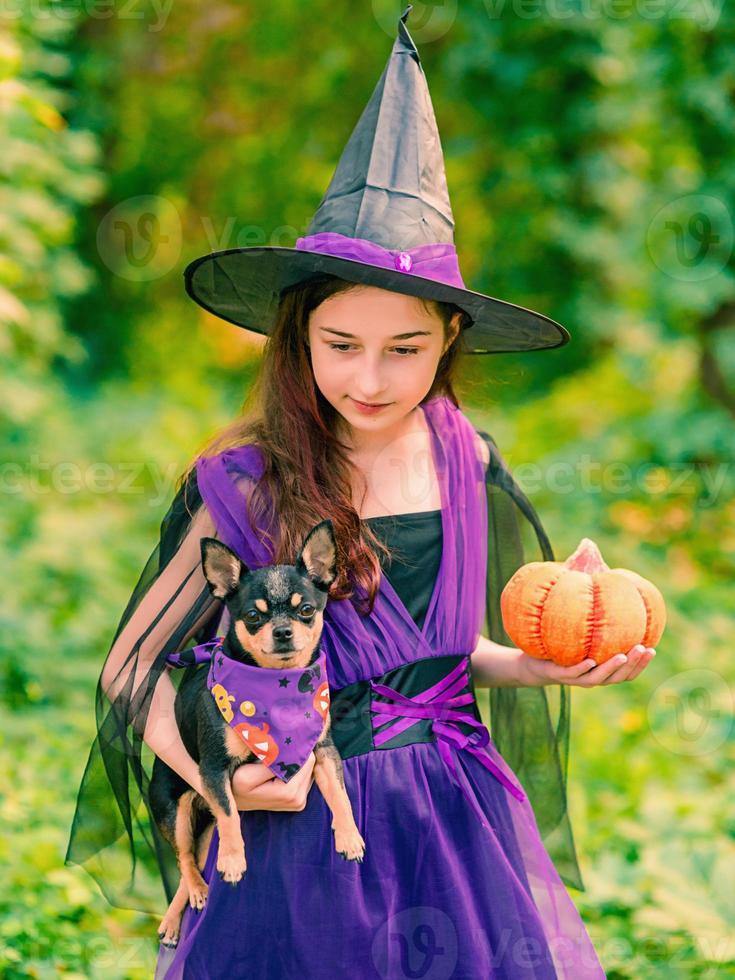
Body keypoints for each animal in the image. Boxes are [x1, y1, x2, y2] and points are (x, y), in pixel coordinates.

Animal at [150, 524, 368, 944]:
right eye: (252, 616)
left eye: (306, 610)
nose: (282, 631)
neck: (275, 690)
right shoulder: (215, 770)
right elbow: (231, 814)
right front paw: (235, 861)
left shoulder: (321, 749)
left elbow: (339, 792)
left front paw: (349, 836)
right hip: (175, 809)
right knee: (186, 857)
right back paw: (189, 900)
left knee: (197, 856)